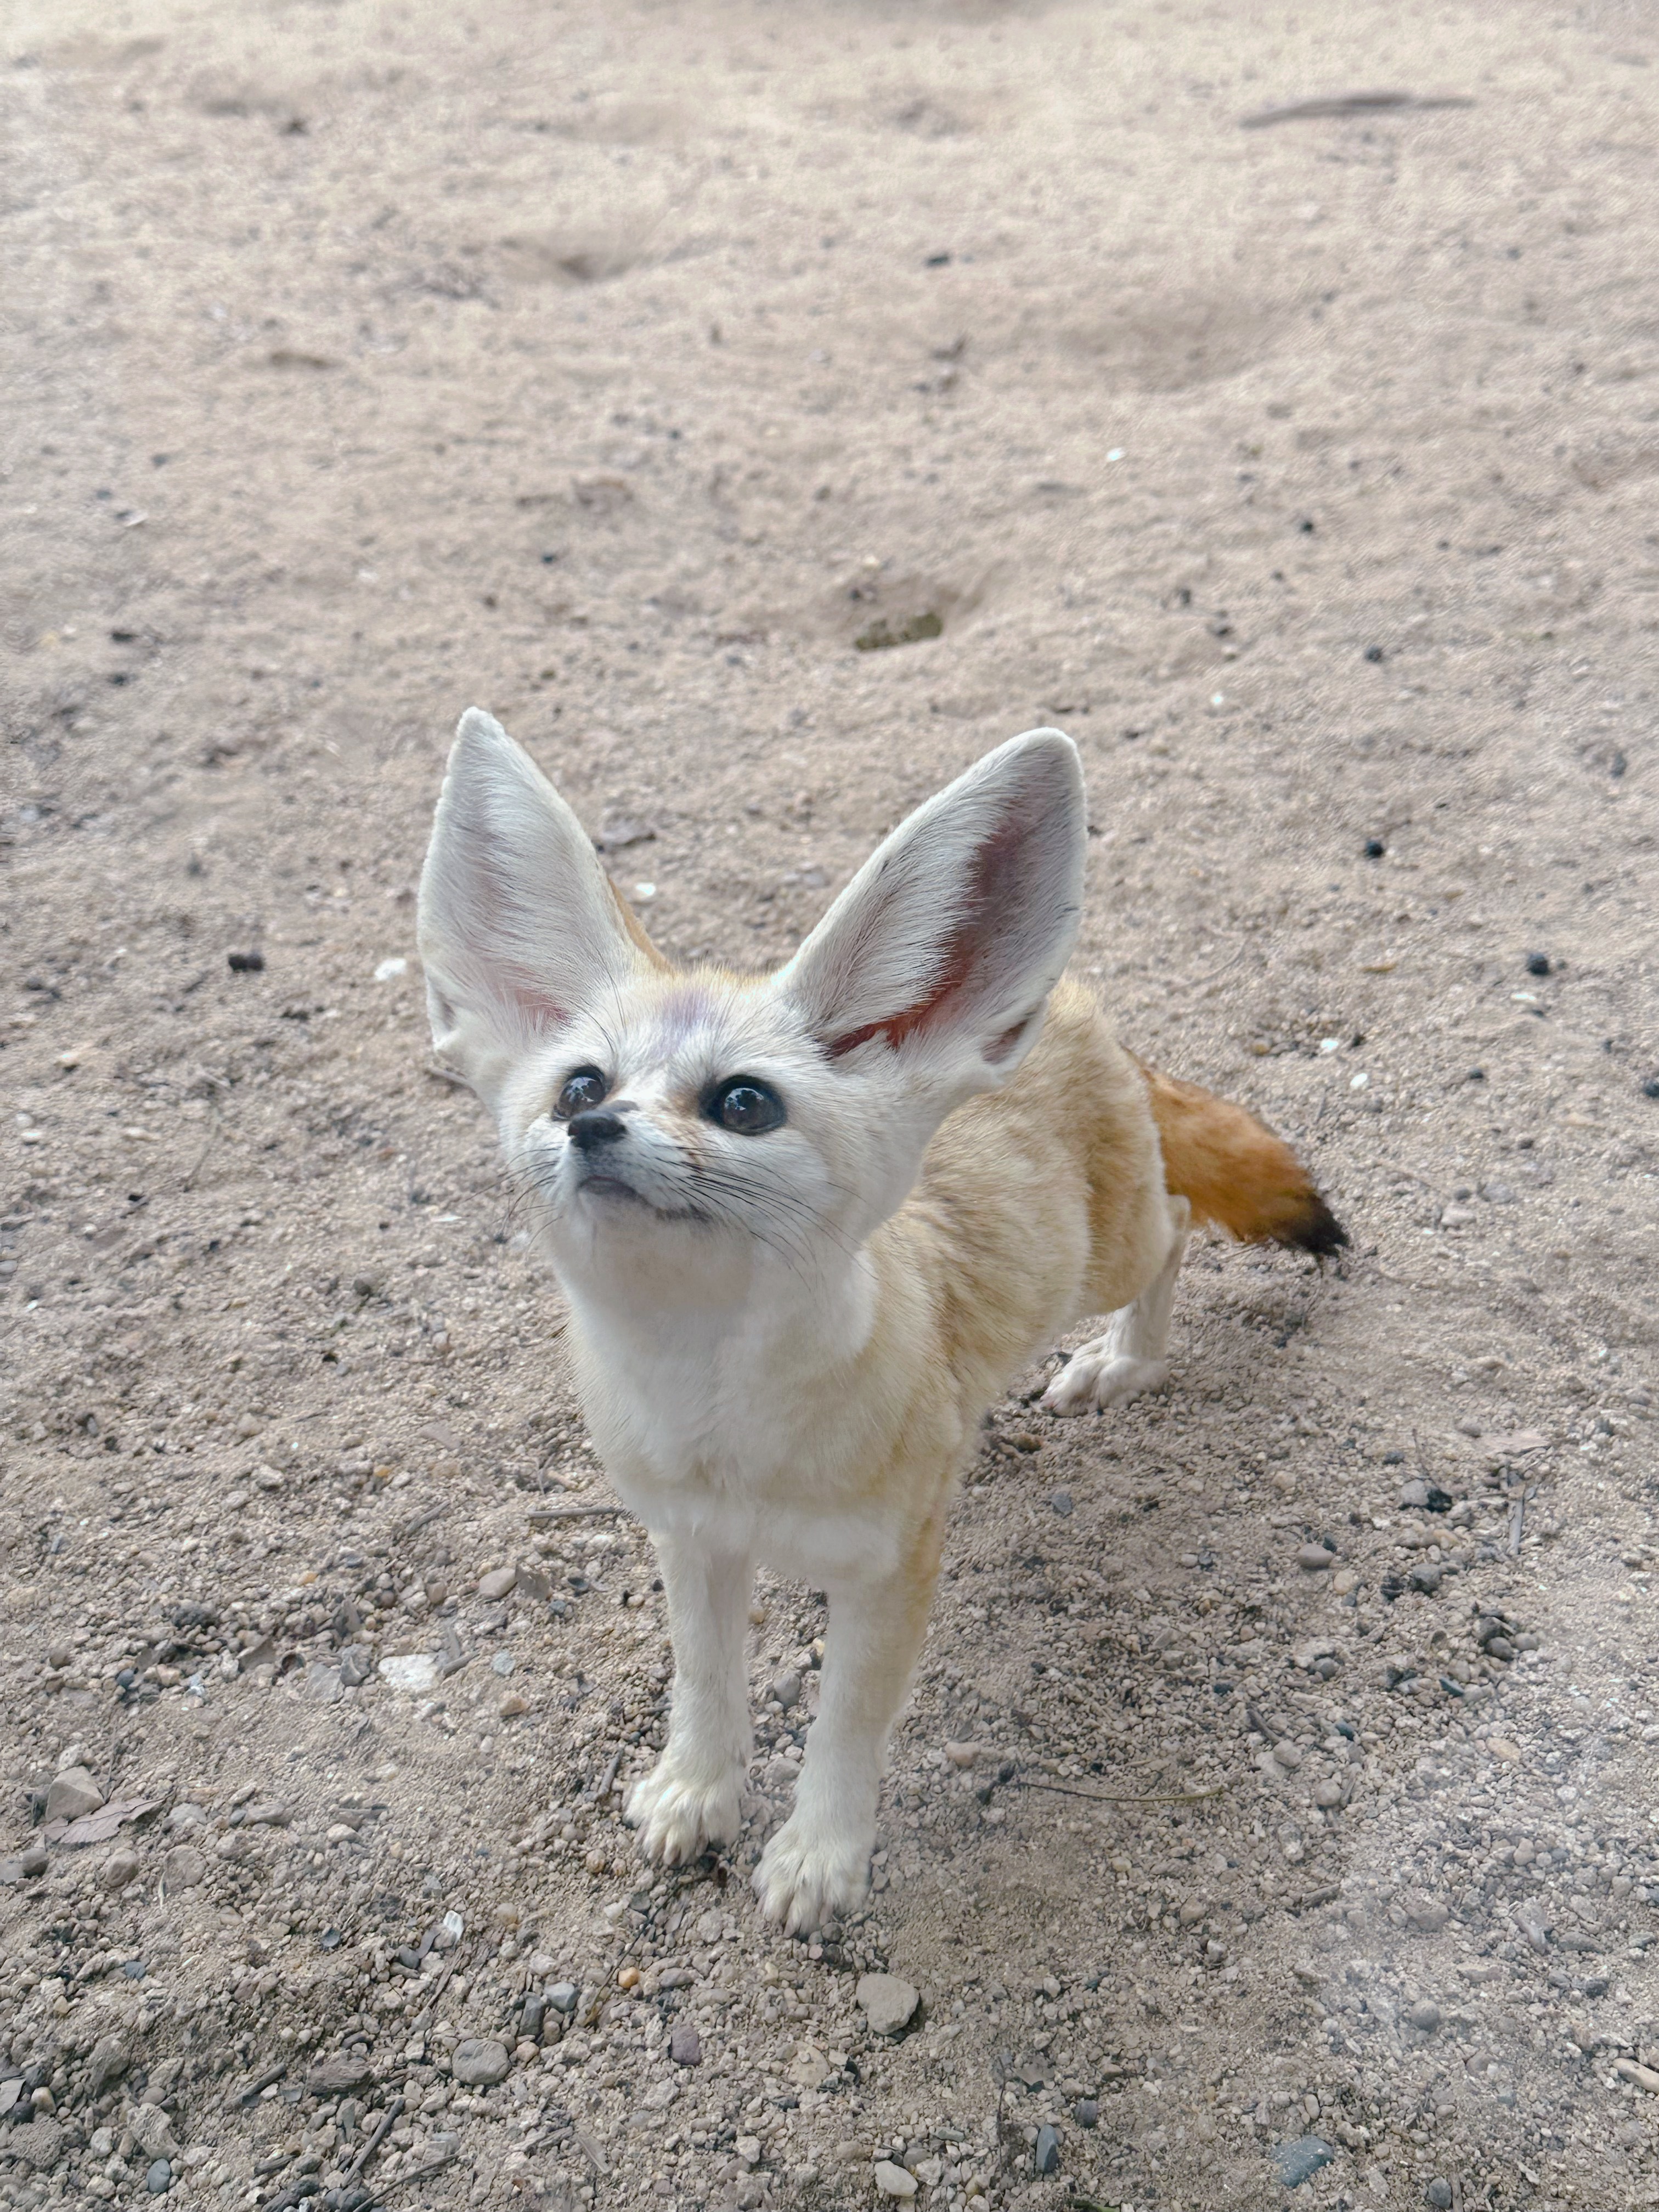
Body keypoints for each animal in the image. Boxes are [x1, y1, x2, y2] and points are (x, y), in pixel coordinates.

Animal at [422, 712, 1345, 1938]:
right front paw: (697, 1790)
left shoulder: (886, 1568)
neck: (722, 1426)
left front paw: (820, 1855)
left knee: (1183, 1220)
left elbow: (846, 1727)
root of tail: (1074, 1003)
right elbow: (702, 1681)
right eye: (580, 1086)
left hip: (1109, 1252)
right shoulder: (689, 1541)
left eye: (743, 1103)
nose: (597, 1129)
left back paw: (1124, 1360)